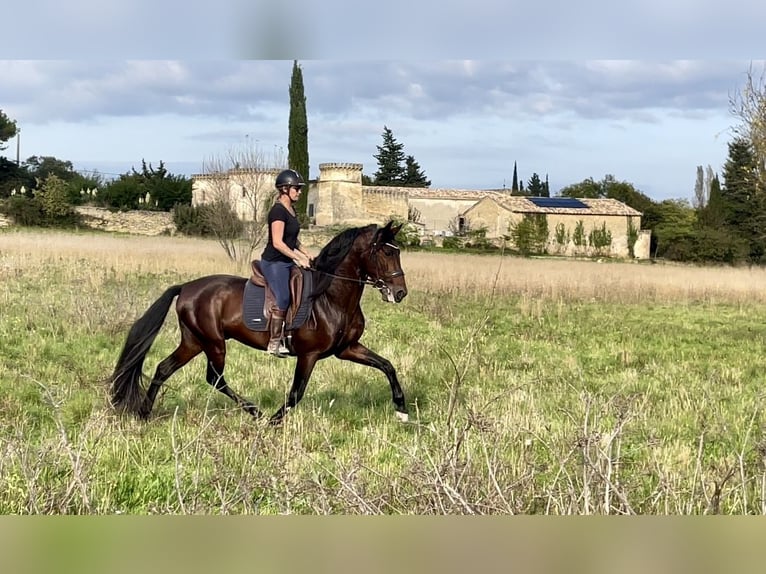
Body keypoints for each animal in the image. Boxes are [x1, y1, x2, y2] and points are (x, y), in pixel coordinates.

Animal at [109, 223, 412, 426]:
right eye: (386, 253)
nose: (400, 293)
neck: (330, 296)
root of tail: (186, 288)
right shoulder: (309, 355)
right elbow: (296, 393)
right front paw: (273, 423)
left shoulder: (347, 348)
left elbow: (387, 365)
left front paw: (401, 408)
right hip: (213, 342)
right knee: (214, 378)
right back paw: (256, 412)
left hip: (194, 341)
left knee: (164, 368)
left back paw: (144, 413)